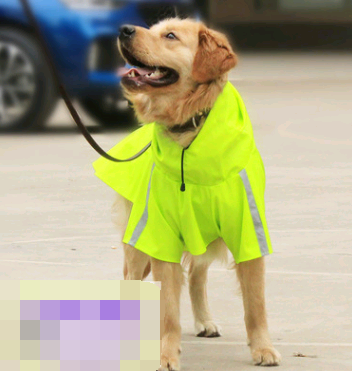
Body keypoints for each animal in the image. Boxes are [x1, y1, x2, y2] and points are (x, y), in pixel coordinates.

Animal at [114, 18, 282, 371]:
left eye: (170, 36)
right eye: (152, 28)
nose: (124, 29)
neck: (189, 128)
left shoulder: (247, 230)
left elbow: (256, 303)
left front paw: (263, 348)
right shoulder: (160, 234)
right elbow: (168, 311)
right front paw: (166, 355)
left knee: (195, 275)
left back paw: (204, 321)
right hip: (137, 240)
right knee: (130, 277)